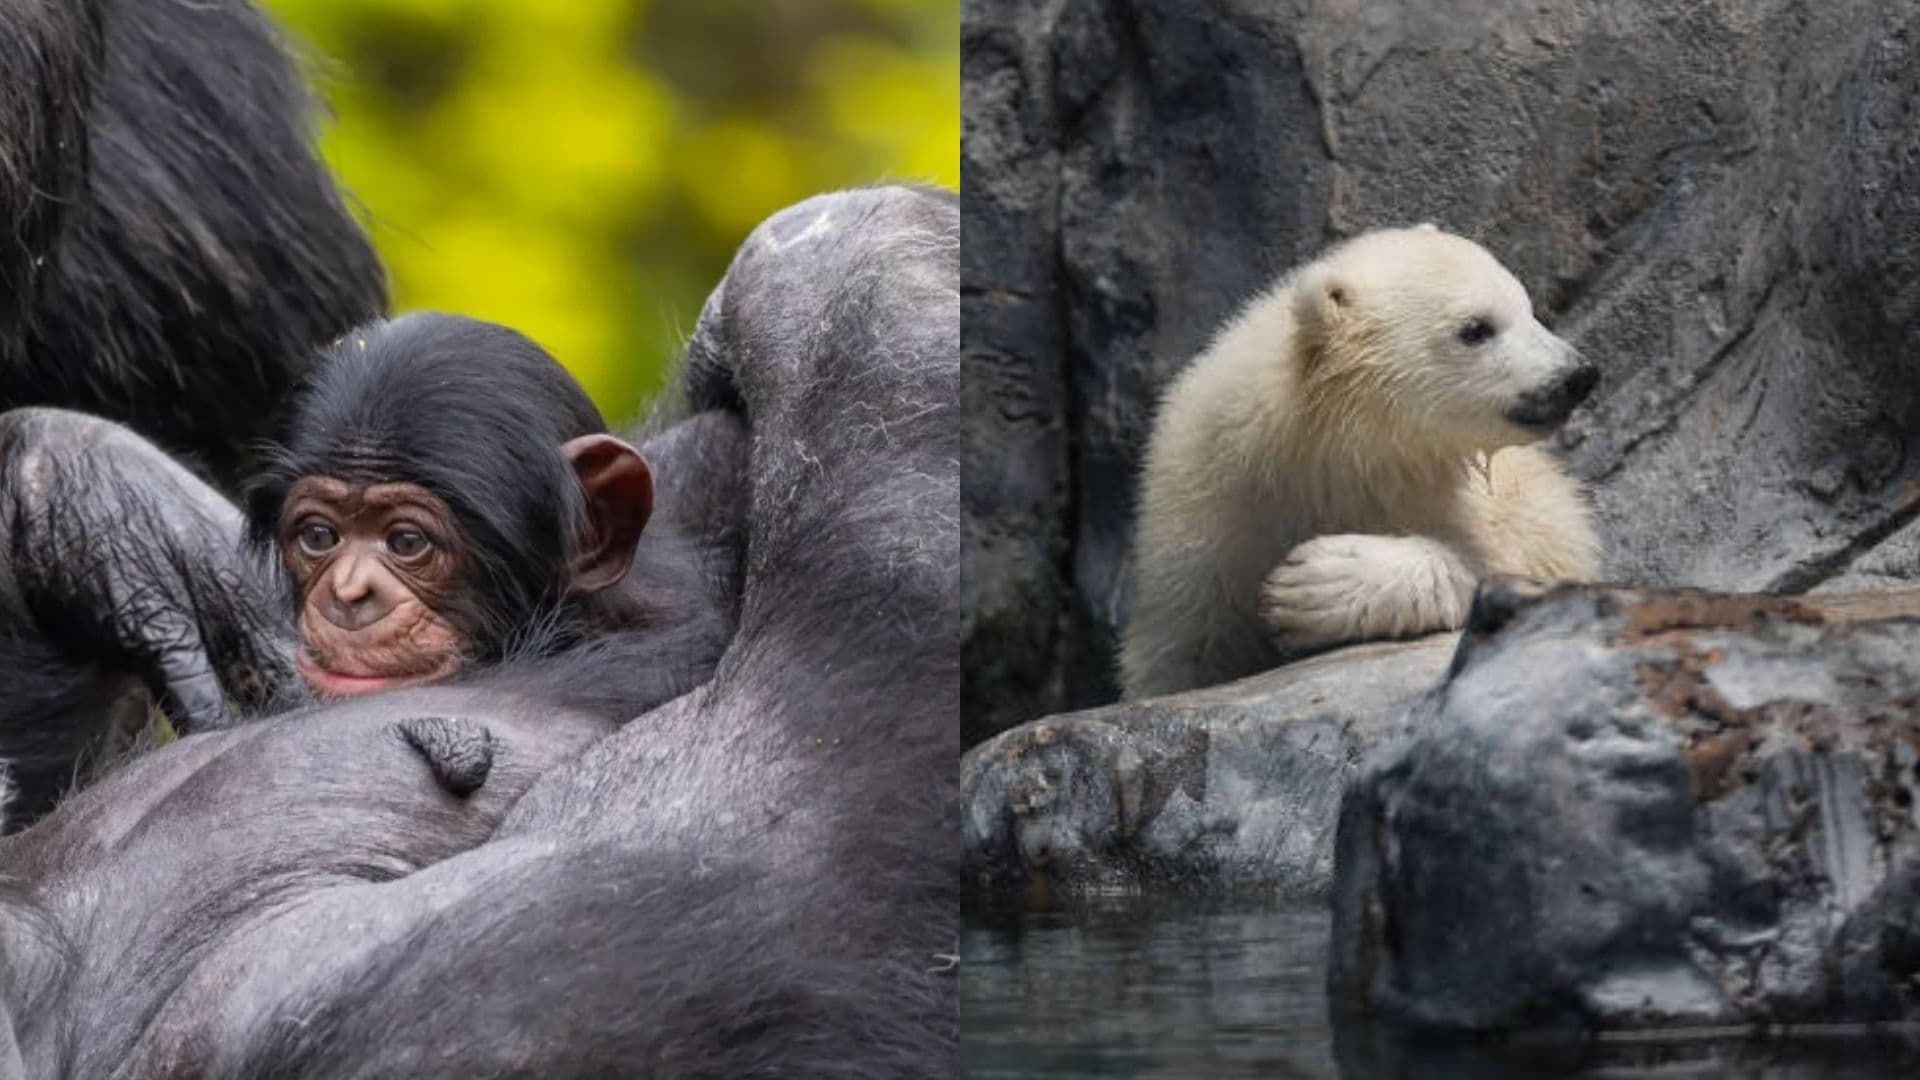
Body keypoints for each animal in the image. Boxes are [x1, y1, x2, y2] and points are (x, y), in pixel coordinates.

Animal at [1118, 225, 1602, 700]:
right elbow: (1178, 654)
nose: (1578, 374)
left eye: (1526, 307)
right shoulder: (1202, 540)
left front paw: (1313, 584)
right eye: (1476, 328)